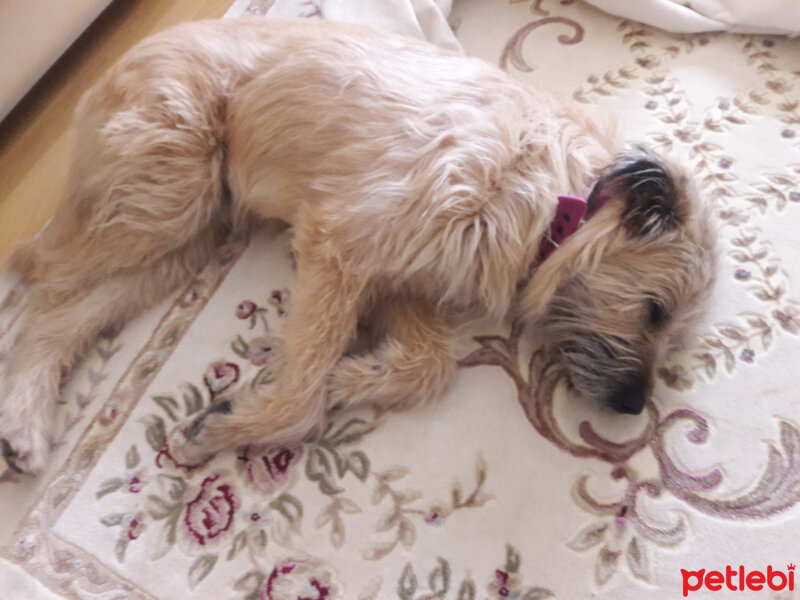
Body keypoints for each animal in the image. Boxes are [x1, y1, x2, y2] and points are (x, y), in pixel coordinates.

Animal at [0, 17, 720, 474]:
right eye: (654, 310)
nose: (633, 406)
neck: (558, 208)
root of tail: (117, 66)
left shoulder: (402, 280)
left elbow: (431, 365)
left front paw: (350, 379)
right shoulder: (339, 246)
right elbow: (303, 388)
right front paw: (255, 415)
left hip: (185, 235)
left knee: (64, 315)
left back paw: (25, 424)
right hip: (170, 191)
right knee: (39, 285)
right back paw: (23, 409)